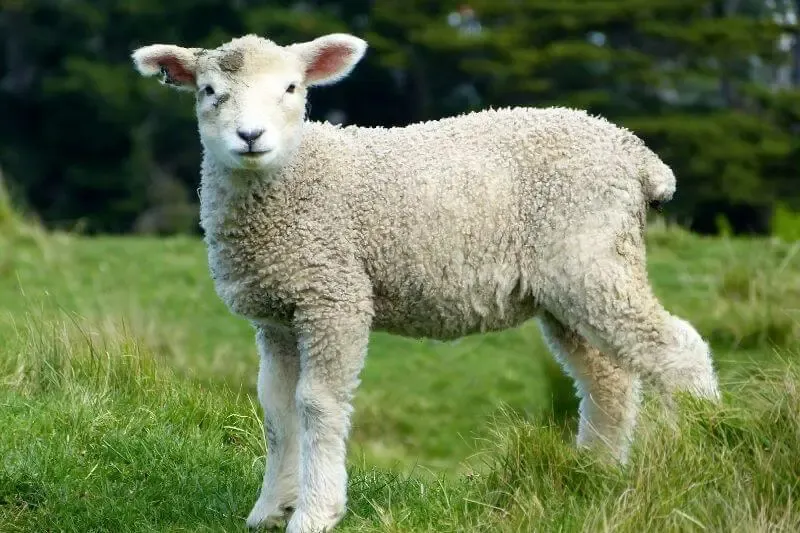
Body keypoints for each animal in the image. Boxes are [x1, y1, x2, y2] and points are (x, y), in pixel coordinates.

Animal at [131, 32, 721, 533]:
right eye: (210, 91)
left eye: (292, 88)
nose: (250, 137)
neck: (295, 178)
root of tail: (636, 155)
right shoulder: (278, 313)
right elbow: (277, 410)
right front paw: (269, 510)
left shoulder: (334, 295)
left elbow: (316, 403)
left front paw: (315, 512)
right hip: (570, 283)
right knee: (608, 381)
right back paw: (593, 477)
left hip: (592, 258)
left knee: (678, 349)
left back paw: (705, 451)